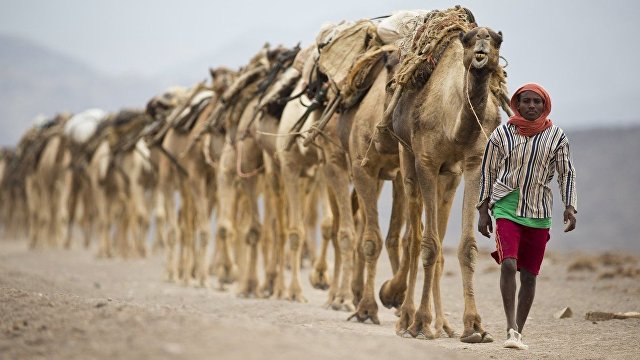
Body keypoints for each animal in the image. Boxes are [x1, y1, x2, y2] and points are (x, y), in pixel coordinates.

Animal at [390, 20, 504, 344]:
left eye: (497, 41)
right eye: (468, 40)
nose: (481, 52)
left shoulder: (473, 162)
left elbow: (466, 246)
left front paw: (474, 326)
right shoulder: (426, 162)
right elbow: (428, 245)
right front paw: (419, 323)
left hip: (449, 177)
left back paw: (441, 324)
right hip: (408, 158)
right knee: (414, 240)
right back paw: (407, 320)